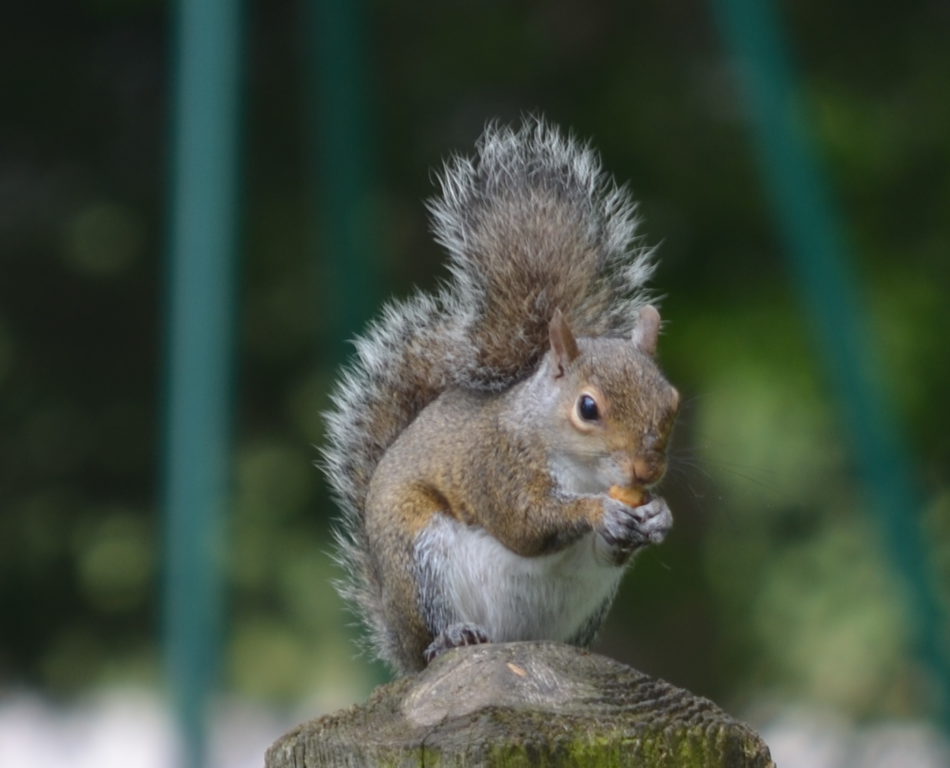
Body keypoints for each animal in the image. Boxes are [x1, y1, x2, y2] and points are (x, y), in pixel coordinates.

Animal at [324, 117, 680, 676]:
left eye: (672, 402)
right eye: (588, 408)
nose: (645, 472)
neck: (581, 469)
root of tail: (401, 645)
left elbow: (607, 549)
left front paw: (659, 515)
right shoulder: (496, 466)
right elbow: (524, 523)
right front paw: (597, 511)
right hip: (419, 554)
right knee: (436, 630)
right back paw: (452, 636)